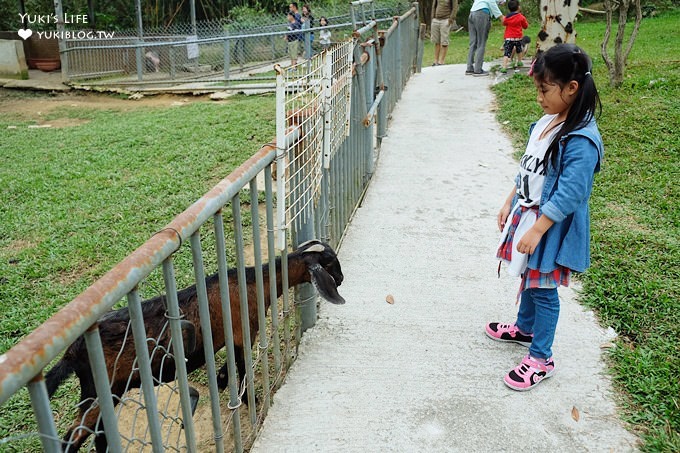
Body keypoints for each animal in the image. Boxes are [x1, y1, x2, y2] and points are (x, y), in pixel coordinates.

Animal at [45, 240, 346, 448]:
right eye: (331, 263)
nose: (342, 279)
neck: (252, 283)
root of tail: (71, 353)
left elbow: (228, 370)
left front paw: (223, 382)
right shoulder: (242, 333)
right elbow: (242, 371)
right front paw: (252, 402)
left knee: (98, 435)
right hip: (100, 390)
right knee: (74, 437)